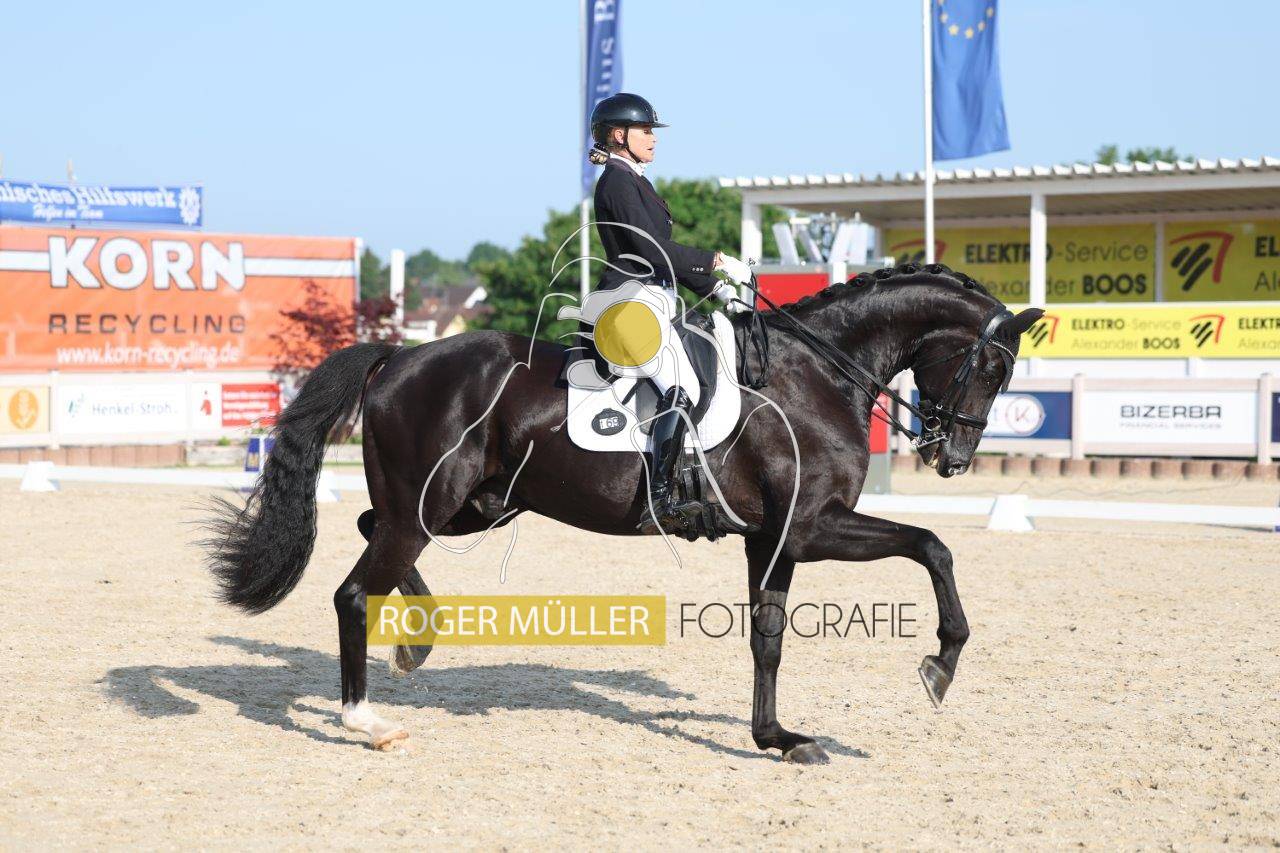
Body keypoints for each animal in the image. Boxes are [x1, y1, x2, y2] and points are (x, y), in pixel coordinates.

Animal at [204, 263, 1042, 763]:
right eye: (991, 365)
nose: (952, 457)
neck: (813, 373)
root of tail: (397, 355)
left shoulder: (773, 539)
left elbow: (768, 639)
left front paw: (775, 736)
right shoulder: (810, 526)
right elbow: (933, 544)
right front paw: (940, 664)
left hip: (470, 505)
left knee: (370, 538)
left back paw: (417, 641)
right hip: (432, 504)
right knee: (353, 589)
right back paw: (366, 720)